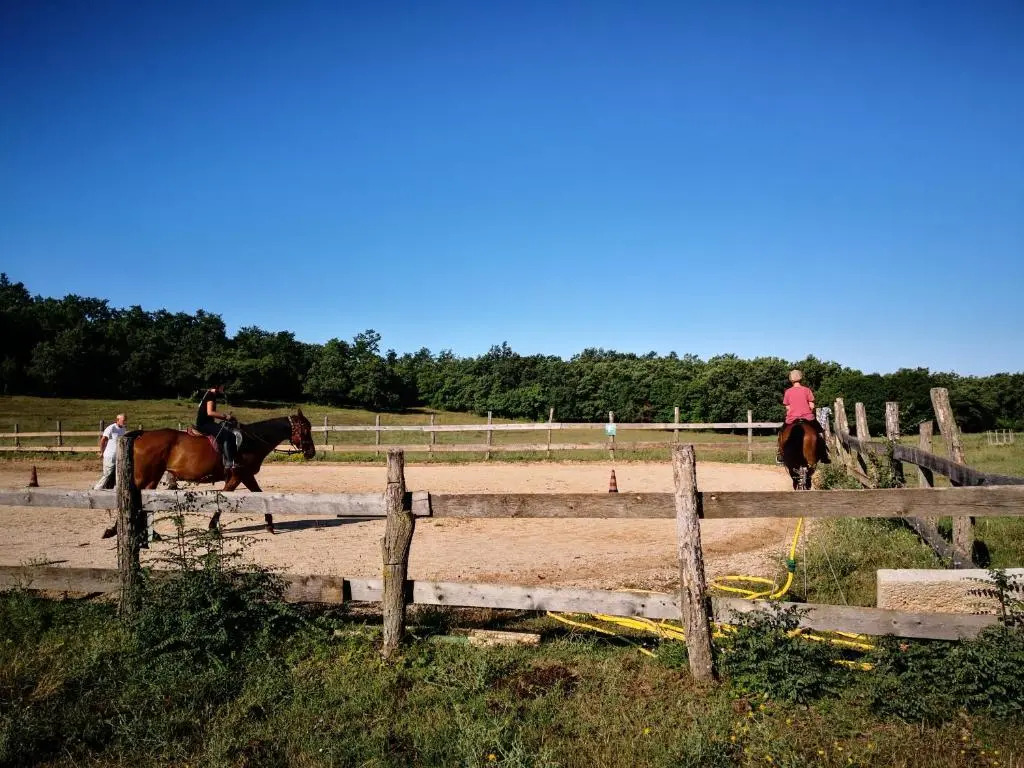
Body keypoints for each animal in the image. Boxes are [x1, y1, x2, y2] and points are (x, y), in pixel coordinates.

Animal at [102, 410, 315, 536]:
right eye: (306, 429)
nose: (311, 452)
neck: (250, 441)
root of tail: (142, 435)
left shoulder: (246, 476)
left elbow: (260, 495)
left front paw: (270, 525)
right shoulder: (238, 476)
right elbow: (223, 500)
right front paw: (213, 527)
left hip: (151, 478)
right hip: (146, 476)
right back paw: (118, 529)